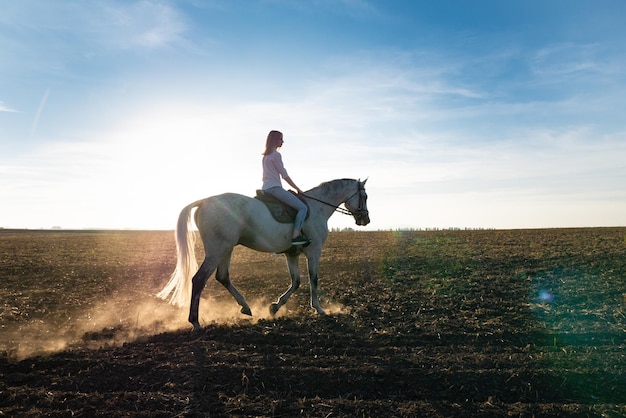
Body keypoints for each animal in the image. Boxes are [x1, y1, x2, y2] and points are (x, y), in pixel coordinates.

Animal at [158, 179, 368, 330]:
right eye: (365, 196)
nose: (365, 219)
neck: (317, 208)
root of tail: (205, 201)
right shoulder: (314, 252)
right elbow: (313, 279)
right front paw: (319, 308)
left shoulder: (291, 254)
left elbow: (296, 281)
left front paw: (275, 307)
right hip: (216, 250)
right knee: (199, 279)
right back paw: (195, 322)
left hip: (226, 249)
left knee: (222, 276)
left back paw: (245, 307)